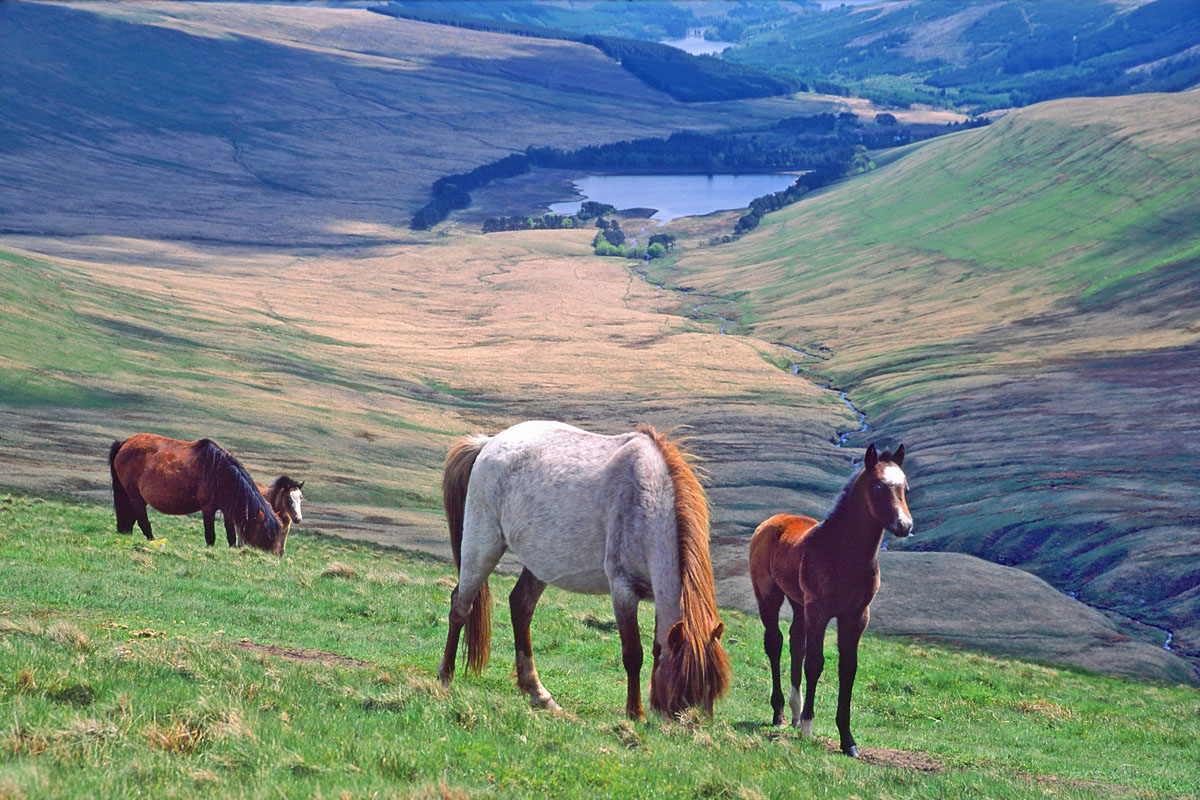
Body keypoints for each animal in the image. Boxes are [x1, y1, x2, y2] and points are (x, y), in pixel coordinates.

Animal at [107, 431, 285, 556]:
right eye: (267, 533)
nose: (277, 555)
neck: (219, 473)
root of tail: (124, 444)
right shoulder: (208, 508)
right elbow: (210, 536)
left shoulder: (227, 510)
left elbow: (231, 535)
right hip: (135, 497)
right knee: (143, 522)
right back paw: (152, 541)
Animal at [436, 419, 724, 719]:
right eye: (683, 688)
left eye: (710, 693)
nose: (691, 725)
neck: (649, 499)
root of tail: (487, 444)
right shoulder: (623, 590)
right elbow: (633, 654)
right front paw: (635, 713)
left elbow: (656, 647)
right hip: (483, 545)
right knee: (460, 606)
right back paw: (445, 677)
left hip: (541, 563)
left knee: (521, 607)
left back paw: (539, 694)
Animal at [748, 443, 907, 758]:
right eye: (878, 486)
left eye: (905, 487)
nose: (904, 525)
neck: (843, 552)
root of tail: (771, 522)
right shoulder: (819, 611)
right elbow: (815, 663)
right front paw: (809, 727)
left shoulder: (856, 616)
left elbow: (847, 668)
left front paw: (848, 740)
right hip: (770, 597)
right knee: (775, 643)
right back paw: (781, 713)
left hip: (799, 603)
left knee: (796, 641)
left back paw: (795, 714)